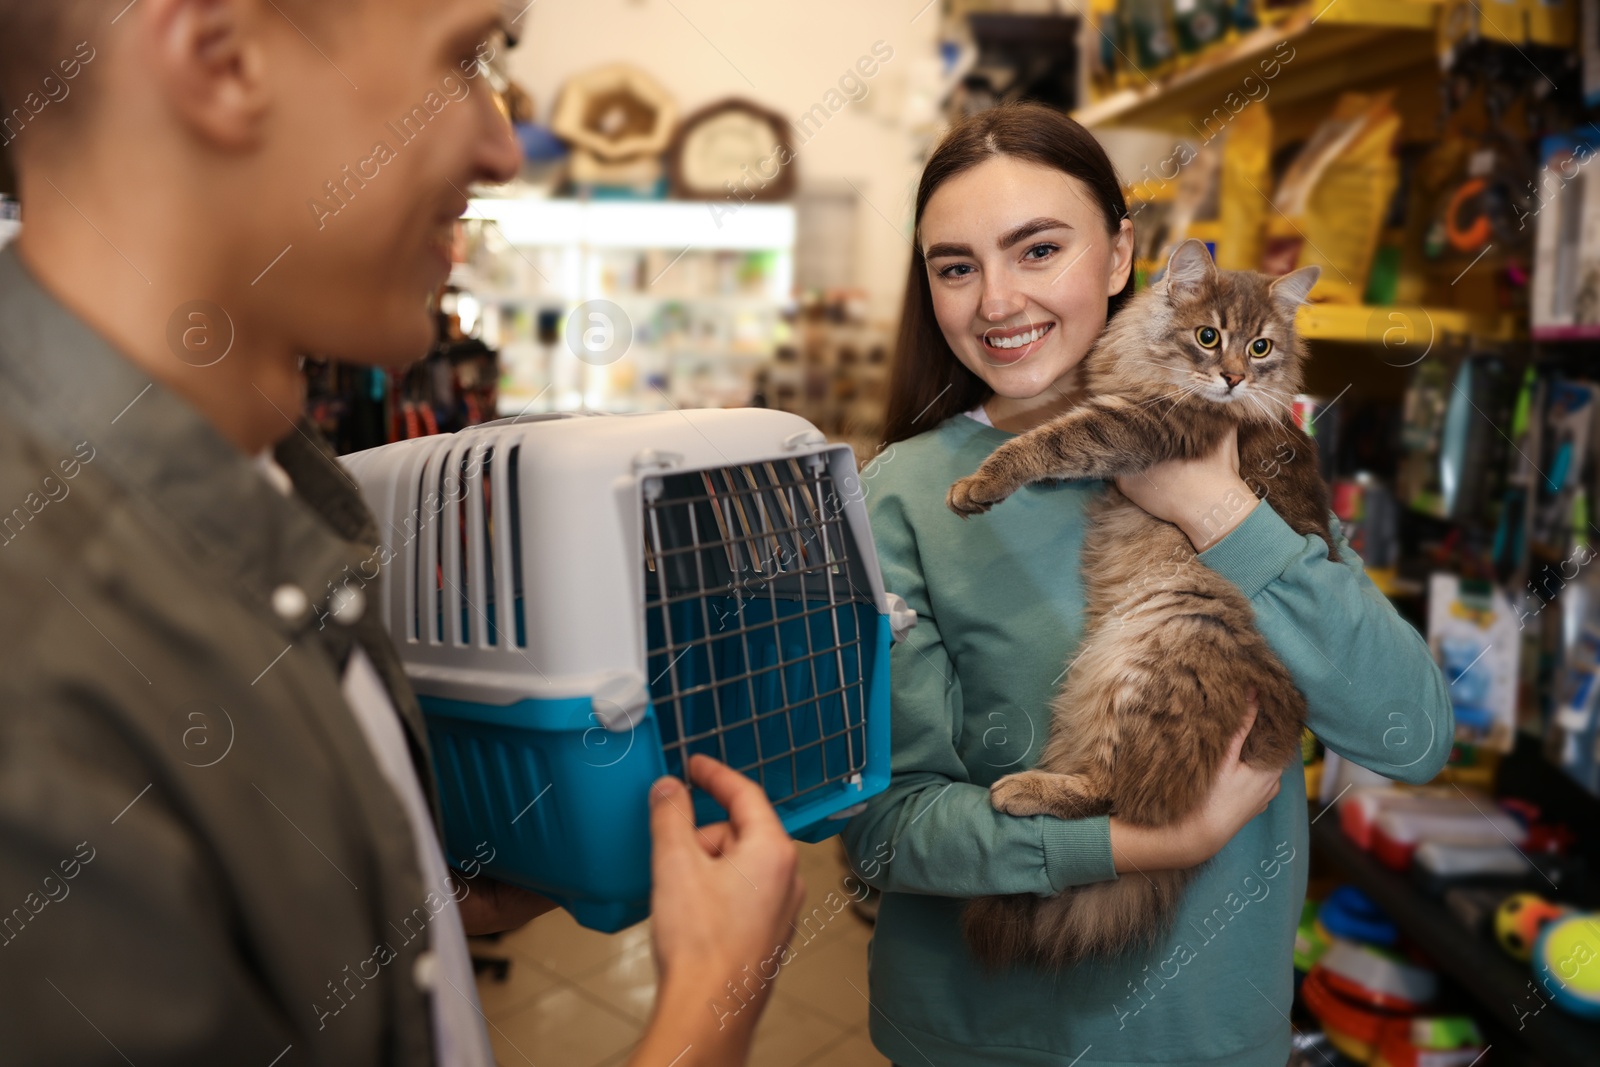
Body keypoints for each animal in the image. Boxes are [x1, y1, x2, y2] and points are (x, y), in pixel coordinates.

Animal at [940, 238, 1331, 972]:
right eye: (1209, 337)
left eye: (1261, 347)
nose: (1233, 379)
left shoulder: (1143, 425)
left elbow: (1047, 441)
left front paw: (980, 482)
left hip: (1158, 647)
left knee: (1119, 798)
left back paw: (1023, 790)